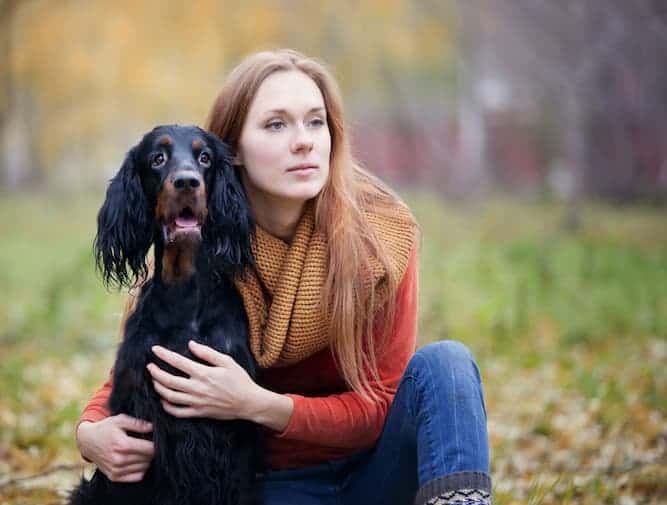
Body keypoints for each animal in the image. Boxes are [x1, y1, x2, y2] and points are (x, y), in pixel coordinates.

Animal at [70, 125, 258, 504]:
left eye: (205, 157)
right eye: (157, 158)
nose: (187, 182)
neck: (185, 303)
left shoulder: (236, 429)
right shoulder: (138, 427)